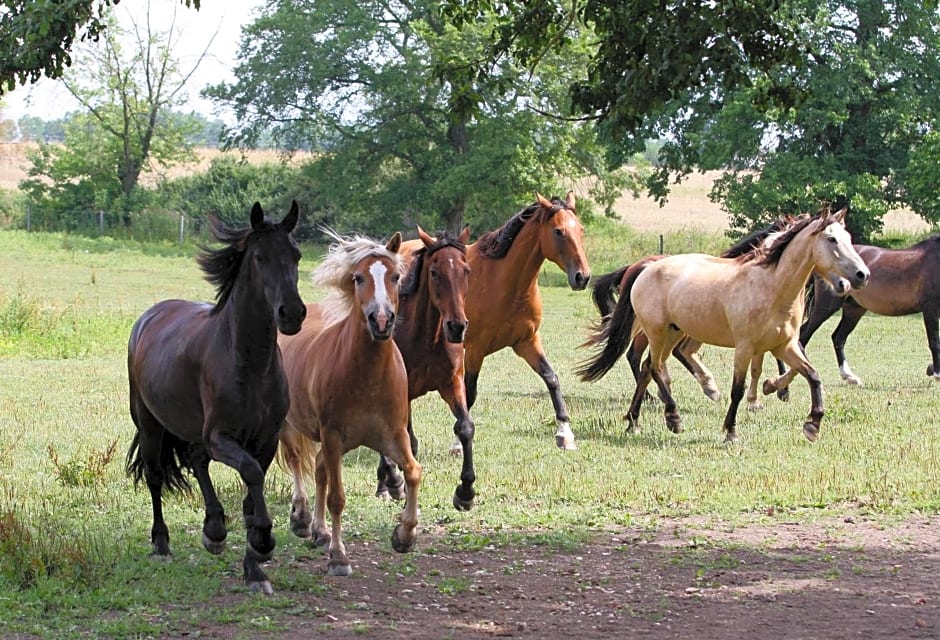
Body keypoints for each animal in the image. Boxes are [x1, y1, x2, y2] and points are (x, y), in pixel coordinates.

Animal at [274, 231, 416, 580]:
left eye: (396, 277)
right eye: (358, 277)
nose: (381, 320)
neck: (367, 374)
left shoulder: (393, 435)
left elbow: (413, 472)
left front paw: (404, 535)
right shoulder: (333, 436)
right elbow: (337, 497)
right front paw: (339, 557)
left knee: (319, 468)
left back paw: (320, 531)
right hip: (292, 426)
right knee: (297, 461)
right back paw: (302, 518)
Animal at [374, 225, 478, 510]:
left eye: (466, 270)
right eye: (434, 272)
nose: (457, 326)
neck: (426, 337)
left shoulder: (452, 383)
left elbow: (465, 427)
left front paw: (465, 491)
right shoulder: (403, 392)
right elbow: (408, 440)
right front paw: (397, 484)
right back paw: (388, 482)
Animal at [576, 208, 872, 442]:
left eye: (849, 239)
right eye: (831, 239)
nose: (861, 276)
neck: (771, 287)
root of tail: (646, 268)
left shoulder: (783, 346)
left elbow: (812, 375)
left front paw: (812, 424)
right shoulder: (745, 347)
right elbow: (738, 389)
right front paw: (731, 431)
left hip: (673, 333)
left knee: (649, 367)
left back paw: (634, 422)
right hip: (657, 333)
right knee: (655, 367)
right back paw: (674, 417)